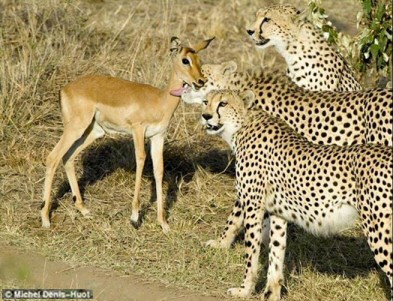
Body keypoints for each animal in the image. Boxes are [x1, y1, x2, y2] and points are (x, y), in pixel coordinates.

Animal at [202, 88, 392, 298]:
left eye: (223, 103)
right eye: (205, 102)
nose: (206, 116)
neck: (242, 126)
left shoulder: (253, 207)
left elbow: (251, 253)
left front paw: (244, 290)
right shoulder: (277, 212)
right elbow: (276, 252)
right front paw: (272, 293)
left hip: (378, 227)